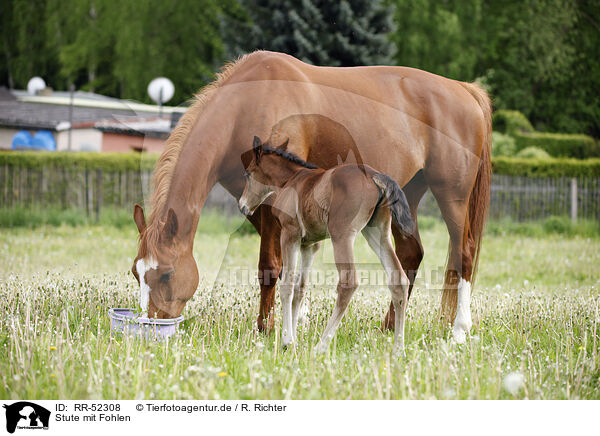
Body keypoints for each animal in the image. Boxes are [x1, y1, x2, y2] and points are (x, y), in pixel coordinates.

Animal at [237, 137, 414, 354]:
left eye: (248, 173)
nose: (243, 206)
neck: (291, 180)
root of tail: (375, 175)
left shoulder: (290, 235)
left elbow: (287, 286)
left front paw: (287, 340)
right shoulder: (310, 245)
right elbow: (300, 289)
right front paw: (294, 338)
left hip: (342, 236)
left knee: (348, 283)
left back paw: (321, 346)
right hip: (378, 233)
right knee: (399, 281)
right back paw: (398, 348)